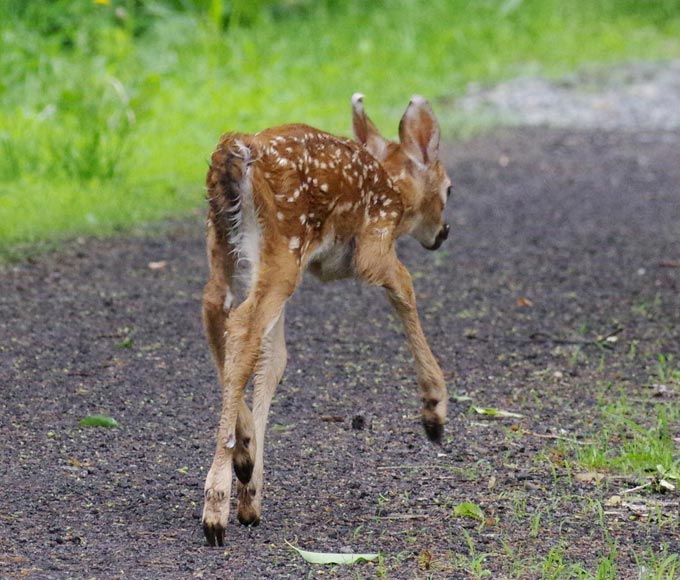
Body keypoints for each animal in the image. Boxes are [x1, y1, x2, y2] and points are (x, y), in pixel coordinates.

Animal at [201, 94, 452, 546]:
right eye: (448, 188)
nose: (443, 233)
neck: (395, 191)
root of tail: (235, 150)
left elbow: (274, 362)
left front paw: (252, 496)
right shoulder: (373, 246)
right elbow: (406, 290)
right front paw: (434, 412)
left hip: (228, 246)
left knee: (218, 313)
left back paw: (242, 455)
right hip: (283, 243)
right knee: (241, 324)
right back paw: (215, 509)